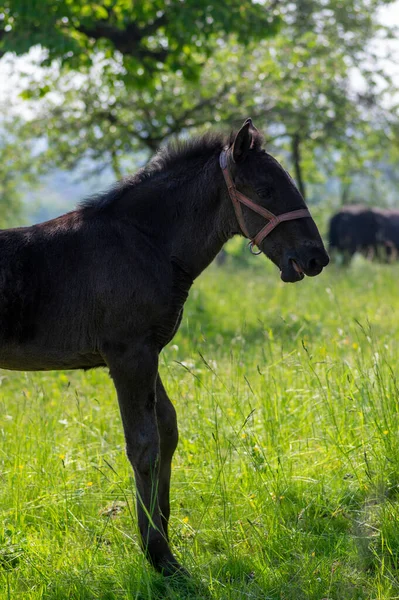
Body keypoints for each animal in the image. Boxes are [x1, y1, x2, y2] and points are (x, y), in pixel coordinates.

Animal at [0, 119, 330, 576]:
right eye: (265, 190)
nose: (316, 258)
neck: (145, 244)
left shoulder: (149, 352)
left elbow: (168, 431)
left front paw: (161, 532)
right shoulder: (128, 356)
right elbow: (143, 445)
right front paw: (160, 556)